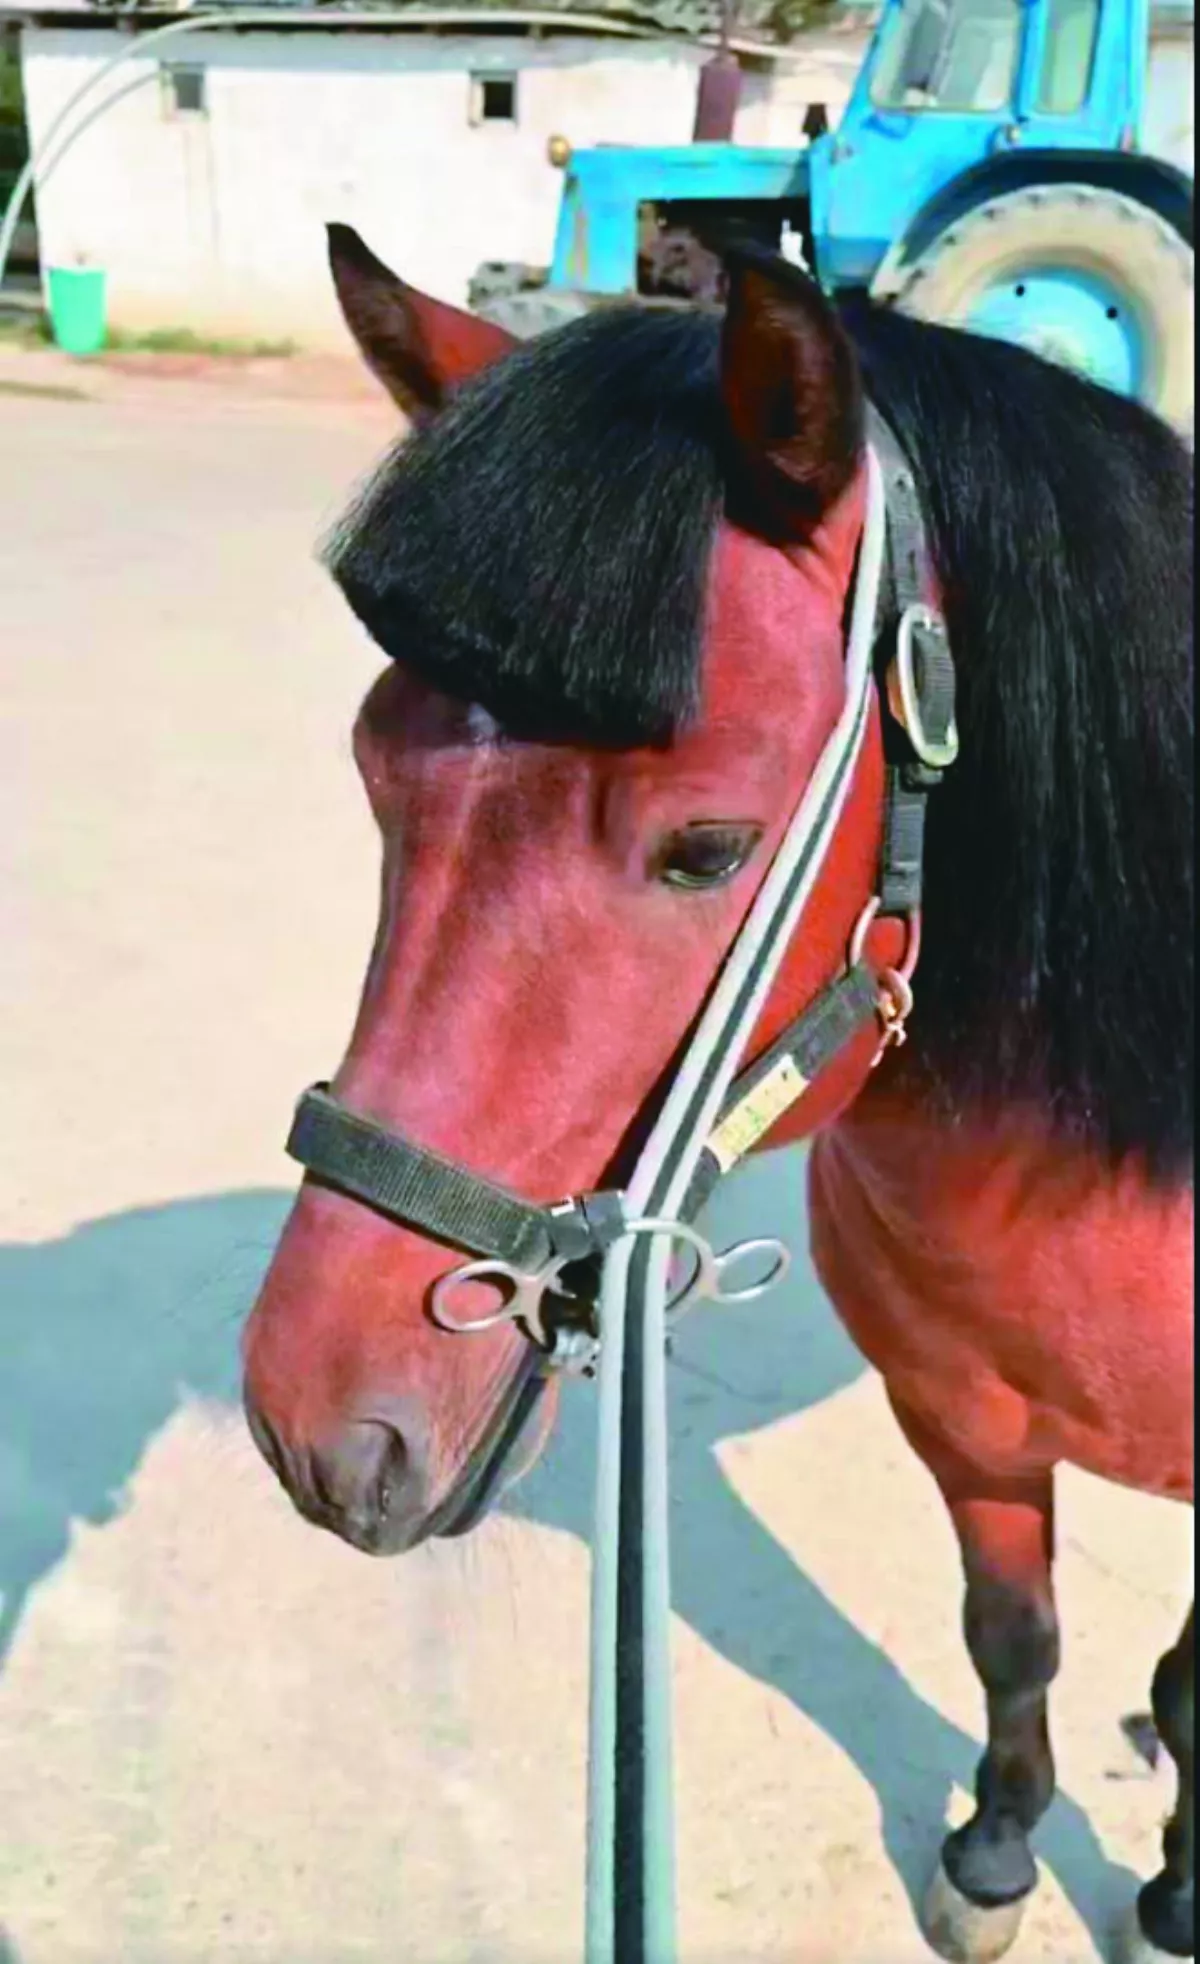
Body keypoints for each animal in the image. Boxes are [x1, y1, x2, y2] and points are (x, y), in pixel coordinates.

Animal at [242, 222, 1194, 1964]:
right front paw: (994, 1850)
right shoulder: (960, 1418)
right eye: (372, 767)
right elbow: (1012, 1633)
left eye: (708, 848)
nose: (311, 1421)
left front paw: (1171, 1888)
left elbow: (1186, 1674)